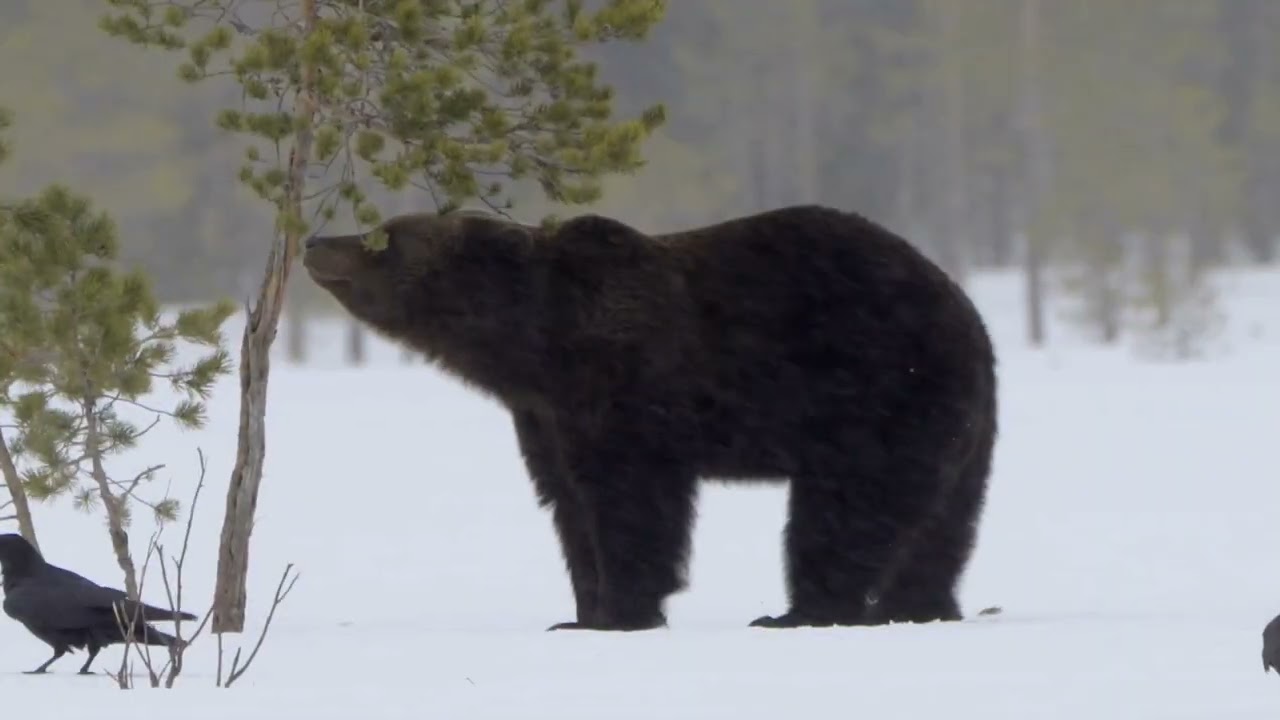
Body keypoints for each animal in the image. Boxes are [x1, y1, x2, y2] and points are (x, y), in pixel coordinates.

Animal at [301, 204, 998, 632]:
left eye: (383, 235)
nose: (314, 240)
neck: (533, 345)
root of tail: (965, 310)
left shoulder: (623, 394)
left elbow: (630, 504)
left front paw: (622, 610)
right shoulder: (543, 417)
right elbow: (567, 505)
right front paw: (579, 611)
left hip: (875, 398)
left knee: (845, 512)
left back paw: (803, 611)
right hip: (954, 427)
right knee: (944, 524)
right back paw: (921, 604)